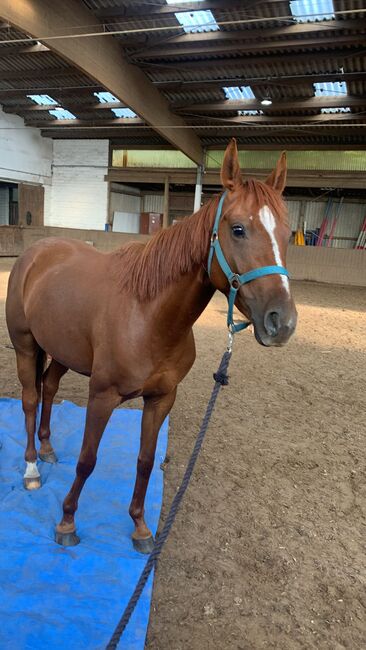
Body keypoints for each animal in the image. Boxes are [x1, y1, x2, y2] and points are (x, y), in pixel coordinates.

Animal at [5, 139, 296, 548]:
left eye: (287, 233)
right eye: (238, 229)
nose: (281, 322)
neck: (149, 317)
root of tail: (37, 251)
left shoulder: (161, 398)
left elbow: (144, 461)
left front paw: (140, 526)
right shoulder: (102, 396)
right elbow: (87, 459)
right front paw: (67, 522)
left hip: (62, 350)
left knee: (48, 387)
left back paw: (46, 449)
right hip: (26, 345)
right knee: (30, 399)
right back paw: (31, 468)